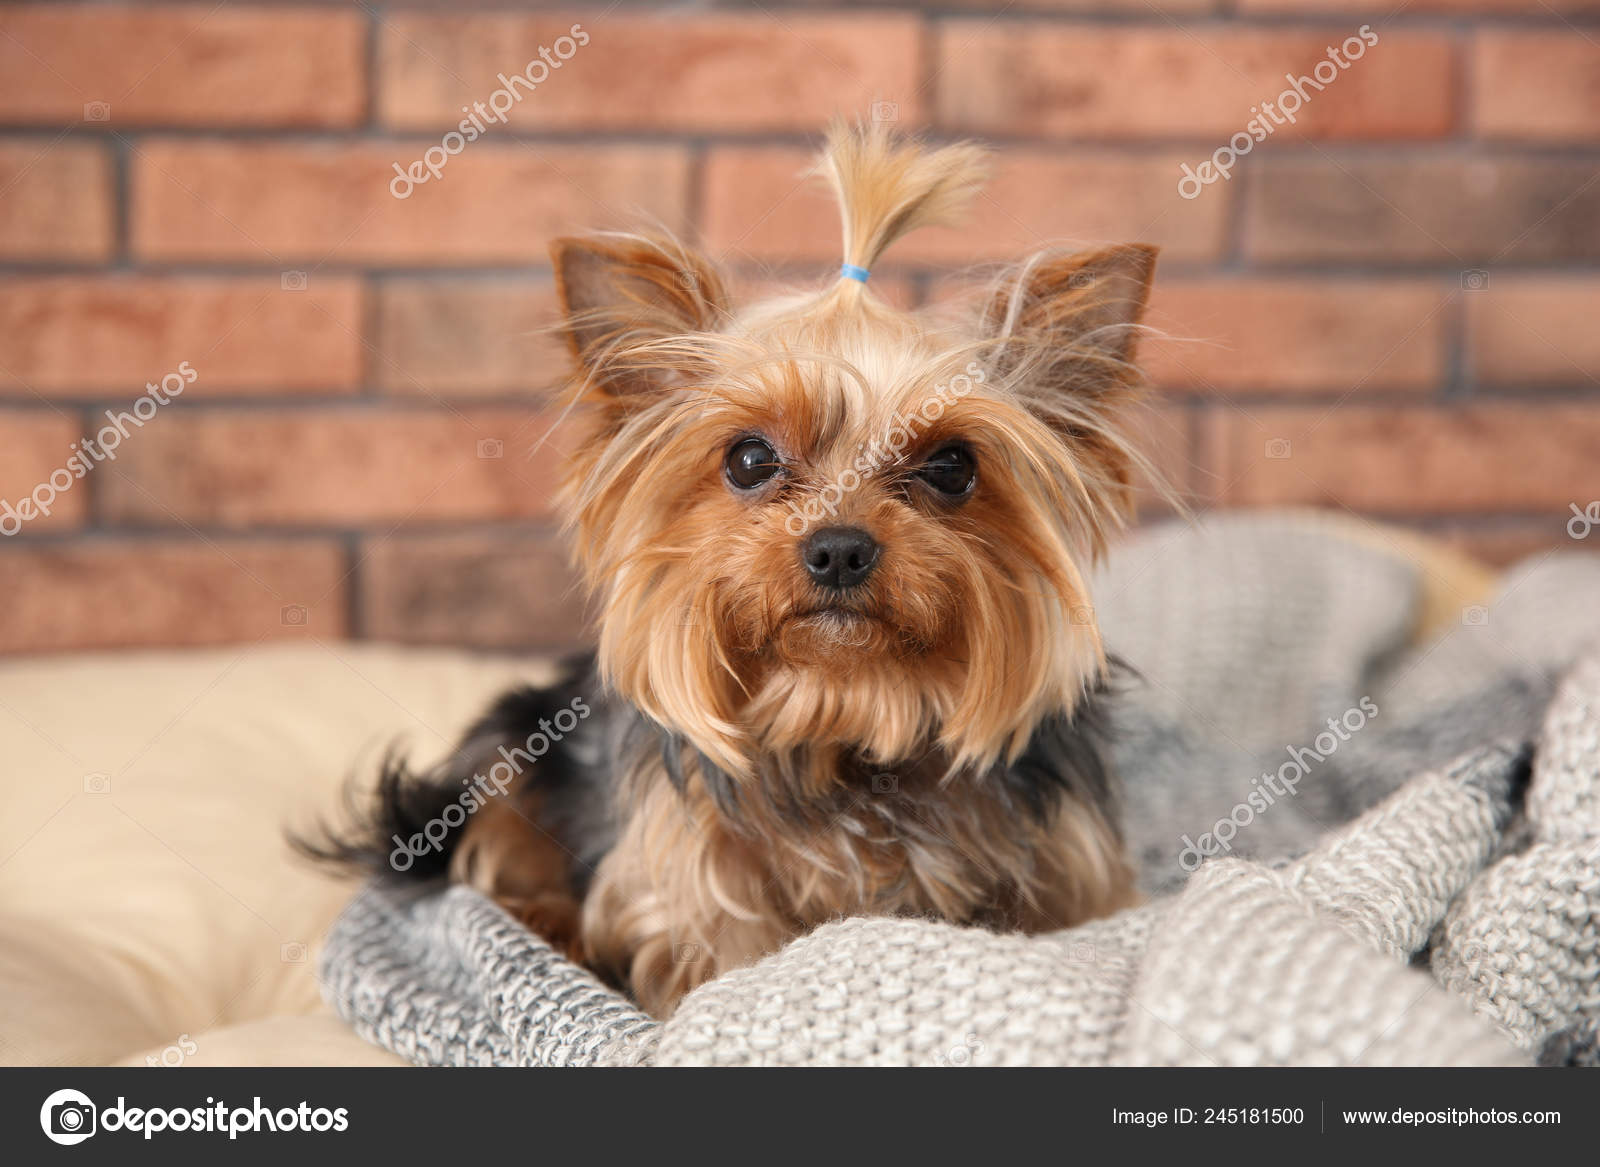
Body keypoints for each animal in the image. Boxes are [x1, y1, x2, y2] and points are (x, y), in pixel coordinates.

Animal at [312, 123, 1164, 1018]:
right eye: (750, 459)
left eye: (953, 466)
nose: (838, 547)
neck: (846, 715)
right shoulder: (691, 886)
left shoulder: (1074, 869)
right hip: (509, 750)